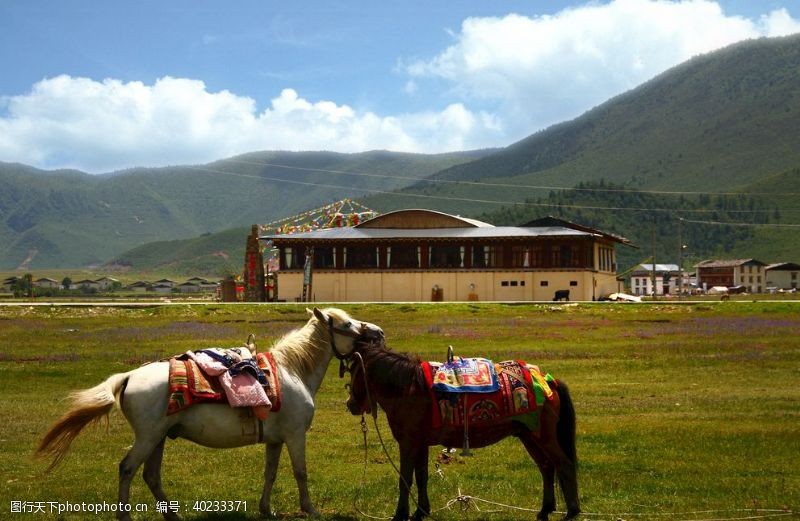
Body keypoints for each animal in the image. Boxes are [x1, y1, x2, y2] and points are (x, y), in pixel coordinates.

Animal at [36, 306, 384, 516]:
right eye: (347, 323)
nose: (379, 332)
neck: (293, 371)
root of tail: (130, 375)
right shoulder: (296, 435)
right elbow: (300, 472)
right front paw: (310, 510)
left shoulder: (275, 439)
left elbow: (270, 473)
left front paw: (266, 509)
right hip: (148, 437)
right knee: (127, 469)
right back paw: (126, 516)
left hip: (158, 438)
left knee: (150, 475)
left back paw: (173, 515)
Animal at [346, 346, 580, 520]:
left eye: (355, 373)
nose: (350, 405)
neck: (410, 390)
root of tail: (549, 381)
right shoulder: (420, 443)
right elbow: (421, 477)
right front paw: (421, 512)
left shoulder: (408, 443)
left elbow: (405, 479)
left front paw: (401, 514)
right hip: (529, 436)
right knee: (547, 468)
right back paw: (545, 510)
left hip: (544, 437)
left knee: (564, 465)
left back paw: (572, 512)